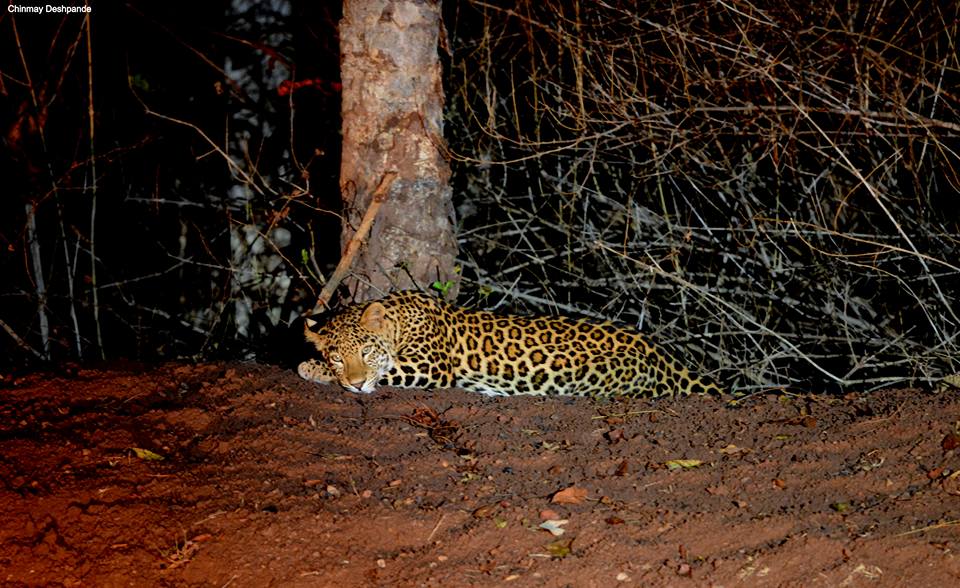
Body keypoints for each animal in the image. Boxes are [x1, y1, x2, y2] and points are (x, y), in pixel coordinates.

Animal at [296, 290, 724, 400]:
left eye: (366, 352)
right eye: (338, 357)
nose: (354, 385)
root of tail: (663, 353)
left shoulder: (430, 366)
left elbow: (388, 371)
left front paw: (309, 367)